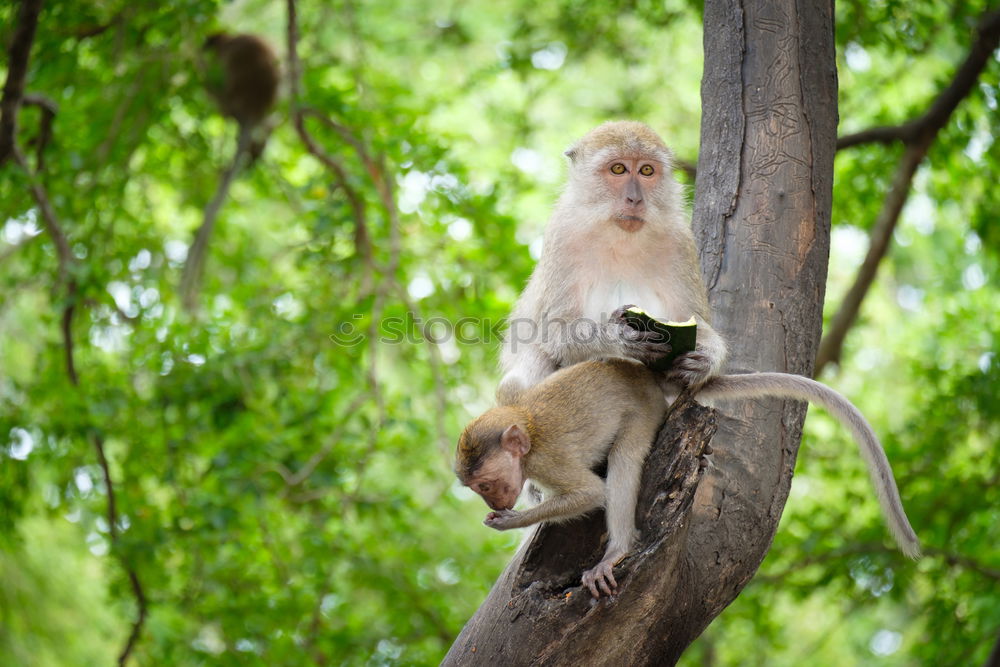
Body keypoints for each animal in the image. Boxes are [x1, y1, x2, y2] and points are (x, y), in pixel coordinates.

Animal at [492, 121, 920, 564]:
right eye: (617, 169)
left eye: (646, 171)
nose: (634, 198)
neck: (621, 234)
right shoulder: (562, 236)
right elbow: (553, 330)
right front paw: (621, 339)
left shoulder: (680, 242)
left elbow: (697, 319)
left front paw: (705, 358)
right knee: (521, 381)